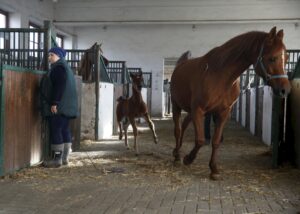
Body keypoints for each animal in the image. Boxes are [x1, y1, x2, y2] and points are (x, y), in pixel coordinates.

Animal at [171, 27, 290, 181]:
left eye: (286, 58)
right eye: (272, 58)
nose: (285, 90)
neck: (220, 75)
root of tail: (179, 66)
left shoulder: (223, 112)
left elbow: (215, 141)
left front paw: (214, 169)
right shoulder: (198, 110)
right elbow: (201, 140)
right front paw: (188, 159)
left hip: (191, 111)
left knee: (184, 125)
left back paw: (177, 151)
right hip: (176, 105)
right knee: (178, 130)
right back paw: (177, 157)